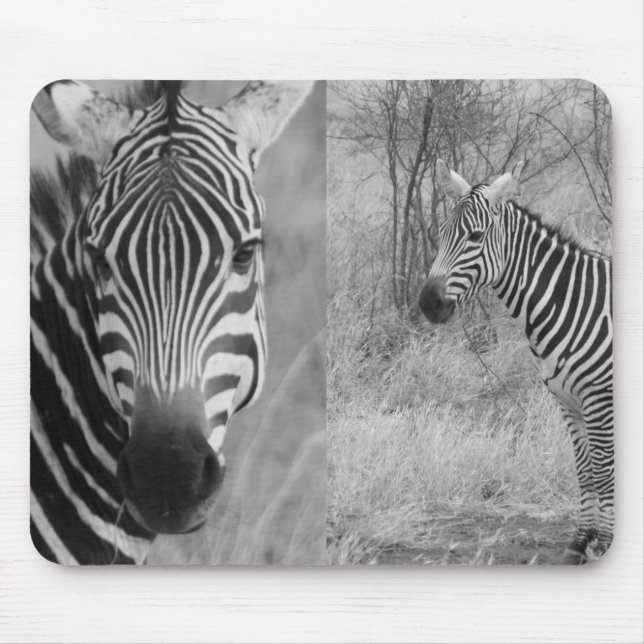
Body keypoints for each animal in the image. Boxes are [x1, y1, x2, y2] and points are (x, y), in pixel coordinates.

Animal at [418, 159, 613, 564]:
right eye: (442, 234)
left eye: (475, 237)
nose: (427, 304)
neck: (571, 302)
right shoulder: (567, 401)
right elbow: (585, 469)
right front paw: (579, 543)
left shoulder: (599, 397)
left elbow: (603, 469)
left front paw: (603, 545)